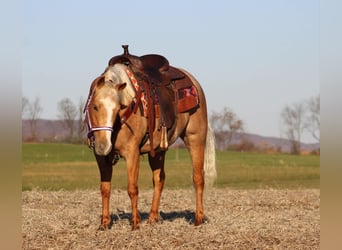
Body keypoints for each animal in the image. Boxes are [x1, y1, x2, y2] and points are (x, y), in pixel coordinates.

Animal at [84, 46, 215, 230]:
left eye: (118, 108)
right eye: (95, 106)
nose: (104, 145)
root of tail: (193, 81)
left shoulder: (132, 153)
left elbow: (132, 188)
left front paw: (135, 224)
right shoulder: (101, 158)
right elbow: (105, 188)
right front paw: (104, 223)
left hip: (195, 138)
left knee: (198, 178)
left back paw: (198, 219)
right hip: (159, 151)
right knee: (159, 179)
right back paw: (153, 217)